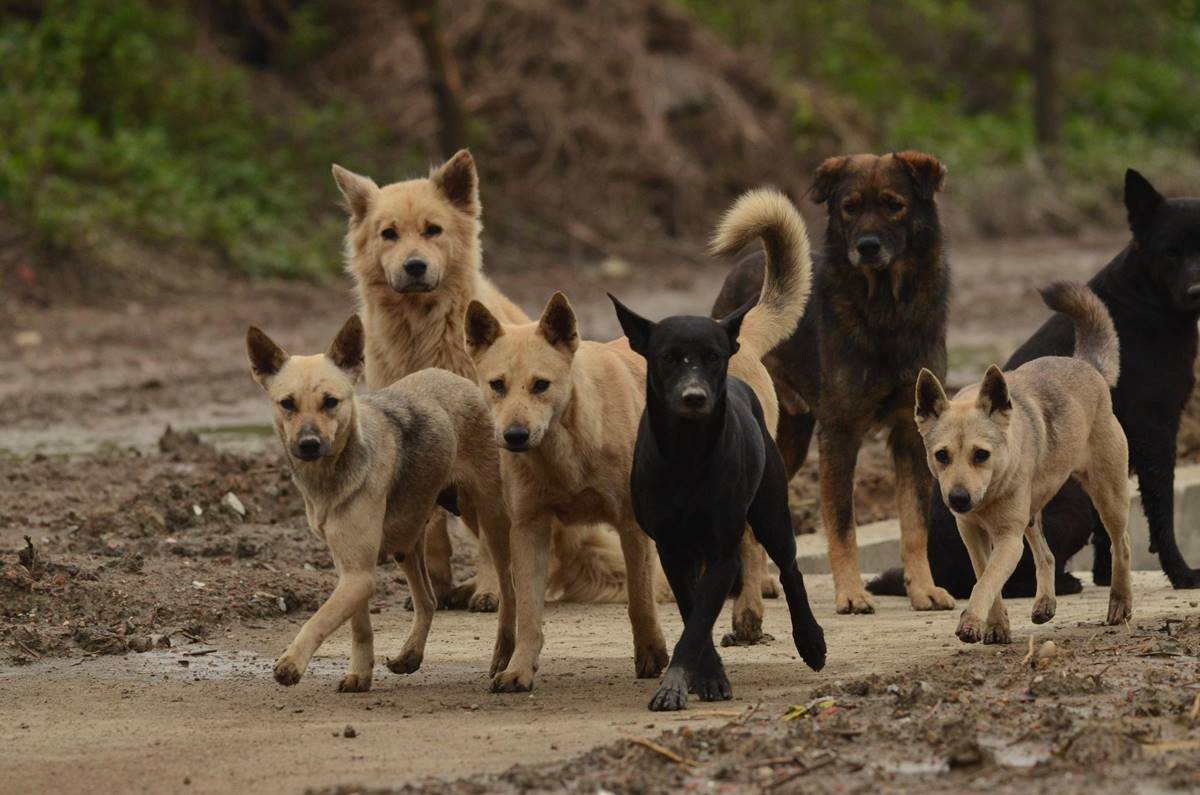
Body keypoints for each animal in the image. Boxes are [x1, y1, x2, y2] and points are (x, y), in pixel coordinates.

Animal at [248, 317, 516, 691]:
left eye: (331, 402)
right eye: (287, 403)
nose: (309, 444)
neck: (331, 473)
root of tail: (465, 384)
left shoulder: (358, 576)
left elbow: (319, 619)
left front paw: (292, 662)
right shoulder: (351, 570)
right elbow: (358, 626)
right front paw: (360, 674)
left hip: (489, 519)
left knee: (509, 592)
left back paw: (504, 654)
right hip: (408, 537)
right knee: (428, 600)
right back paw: (410, 655)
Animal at [609, 295, 825, 710]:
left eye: (713, 357)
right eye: (668, 357)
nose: (694, 397)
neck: (687, 453)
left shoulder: (724, 552)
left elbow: (698, 621)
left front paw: (686, 681)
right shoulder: (671, 549)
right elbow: (693, 611)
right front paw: (704, 676)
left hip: (771, 512)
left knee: (790, 568)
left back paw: (811, 641)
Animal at [710, 153, 955, 614]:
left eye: (894, 205)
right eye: (850, 207)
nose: (867, 246)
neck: (885, 311)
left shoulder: (910, 435)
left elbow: (915, 524)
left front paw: (923, 588)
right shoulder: (841, 433)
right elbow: (842, 525)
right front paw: (851, 592)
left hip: (788, 441)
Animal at [873, 171, 1200, 600]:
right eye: (1169, 253)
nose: (1196, 292)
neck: (1144, 297)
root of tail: (937, 573)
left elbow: (1111, 533)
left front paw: (1106, 574)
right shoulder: (1156, 434)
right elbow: (1161, 513)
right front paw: (1182, 573)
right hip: (1069, 504)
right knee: (1014, 574)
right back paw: (1060, 583)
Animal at [916, 283, 1132, 643]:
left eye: (981, 455)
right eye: (941, 455)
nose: (958, 499)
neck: (989, 493)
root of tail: (1087, 367)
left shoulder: (1008, 538)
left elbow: (986, 581)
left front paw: (971, 622)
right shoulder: (972, 533)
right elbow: (984, 577)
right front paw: (996, 625)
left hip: (1109, 496)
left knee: (1122, 544)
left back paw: (1120, 603)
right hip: (1032, 516)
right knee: (1047, 555)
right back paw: (1045, 603)